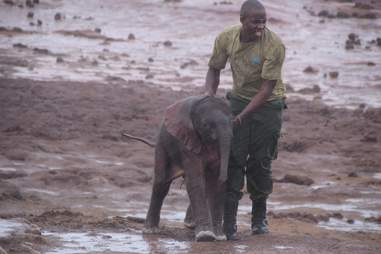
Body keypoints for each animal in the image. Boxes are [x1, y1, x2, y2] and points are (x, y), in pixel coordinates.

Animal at [143, 95, 232, 242]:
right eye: (205, 125)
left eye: (233, 122)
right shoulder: (188, 141)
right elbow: (196, 181)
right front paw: (205, 236)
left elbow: (215, 184)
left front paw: (220, 237)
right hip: (162, 142)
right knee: (161, 183)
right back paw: (150, 230)